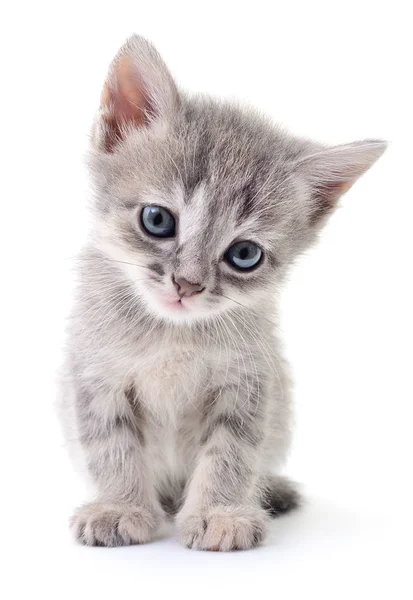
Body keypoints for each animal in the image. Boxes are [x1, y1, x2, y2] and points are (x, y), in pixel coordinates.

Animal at [58, 31, 386, 548]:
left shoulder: (249, 383)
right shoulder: (95, 375)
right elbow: (111, 446)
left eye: (244, 254)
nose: (187, 284)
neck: (172, 334)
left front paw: (221, 512)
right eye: (157, 219)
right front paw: (120, 506)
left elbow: (231, 453)